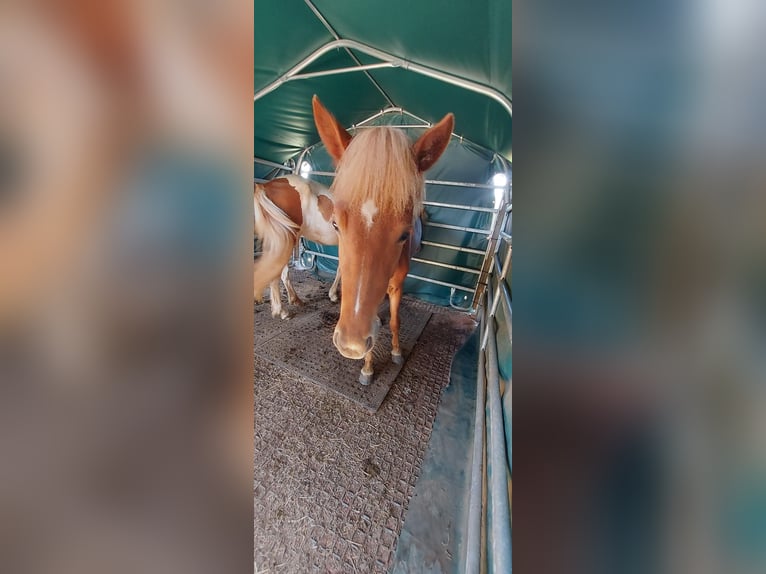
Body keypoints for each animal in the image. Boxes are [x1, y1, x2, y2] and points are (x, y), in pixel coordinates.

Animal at [311, 95, 454, 385]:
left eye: (404, 234)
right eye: (336, 224)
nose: (350, 345)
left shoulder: (396, 284)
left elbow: (395, 320)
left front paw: (396, 352)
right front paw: (366, 367)